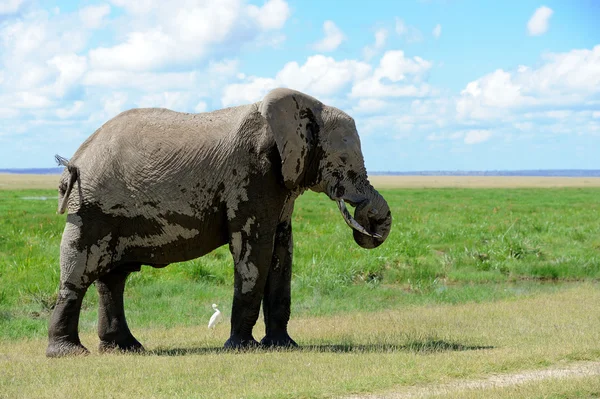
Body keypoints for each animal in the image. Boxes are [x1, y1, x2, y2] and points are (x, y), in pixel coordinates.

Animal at [47, 86, 394, 356]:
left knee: (113, 279)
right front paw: (243, 348)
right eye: (345, 163)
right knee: (79, 273)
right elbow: (255, 252)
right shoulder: (252, 174)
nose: (369, 224)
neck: (304, 107)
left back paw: (125, 348)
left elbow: (282, 253)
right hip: (91, 209)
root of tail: (74, 160)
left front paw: (283, 346)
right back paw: (69, 353)